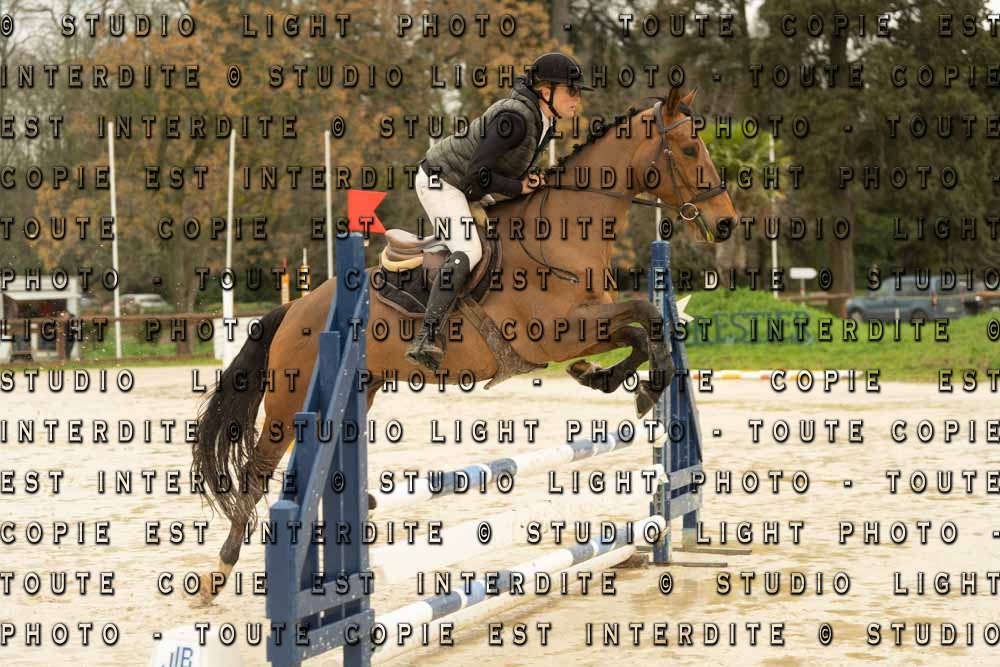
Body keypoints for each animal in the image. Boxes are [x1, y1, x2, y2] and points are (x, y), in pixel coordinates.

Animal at [191, 86, 738, 602]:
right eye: (690, 148)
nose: (727, 221)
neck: (563, 233)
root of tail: (297, 308)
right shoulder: (558, 332)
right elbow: (647, 315)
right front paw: (642, 387)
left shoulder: (582, 329)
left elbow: (642, 331)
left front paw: (609, 380)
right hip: (289, 400)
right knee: (257, 472)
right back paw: (218, 573)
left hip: (360, 390)